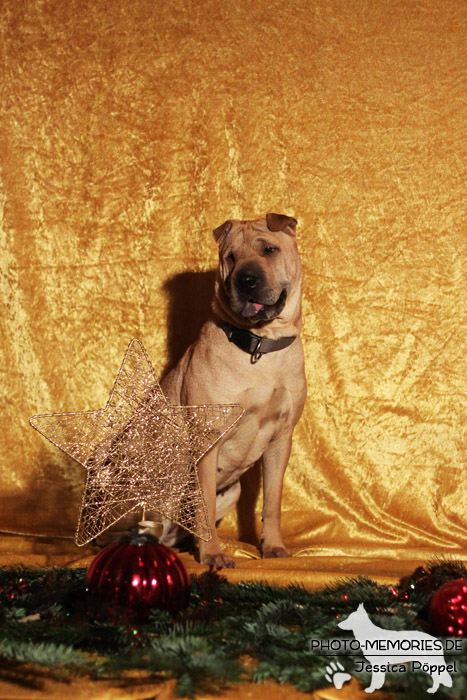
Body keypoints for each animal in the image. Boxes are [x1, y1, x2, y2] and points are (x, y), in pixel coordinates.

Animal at [161, 215, 308, 568]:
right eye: (230, 257)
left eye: (269, 250)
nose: (247, 280)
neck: (261, 347)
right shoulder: (208, 438)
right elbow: (204, 505)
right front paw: (213, 554)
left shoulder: (281, 439)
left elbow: (272, 502)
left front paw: (273, 547)